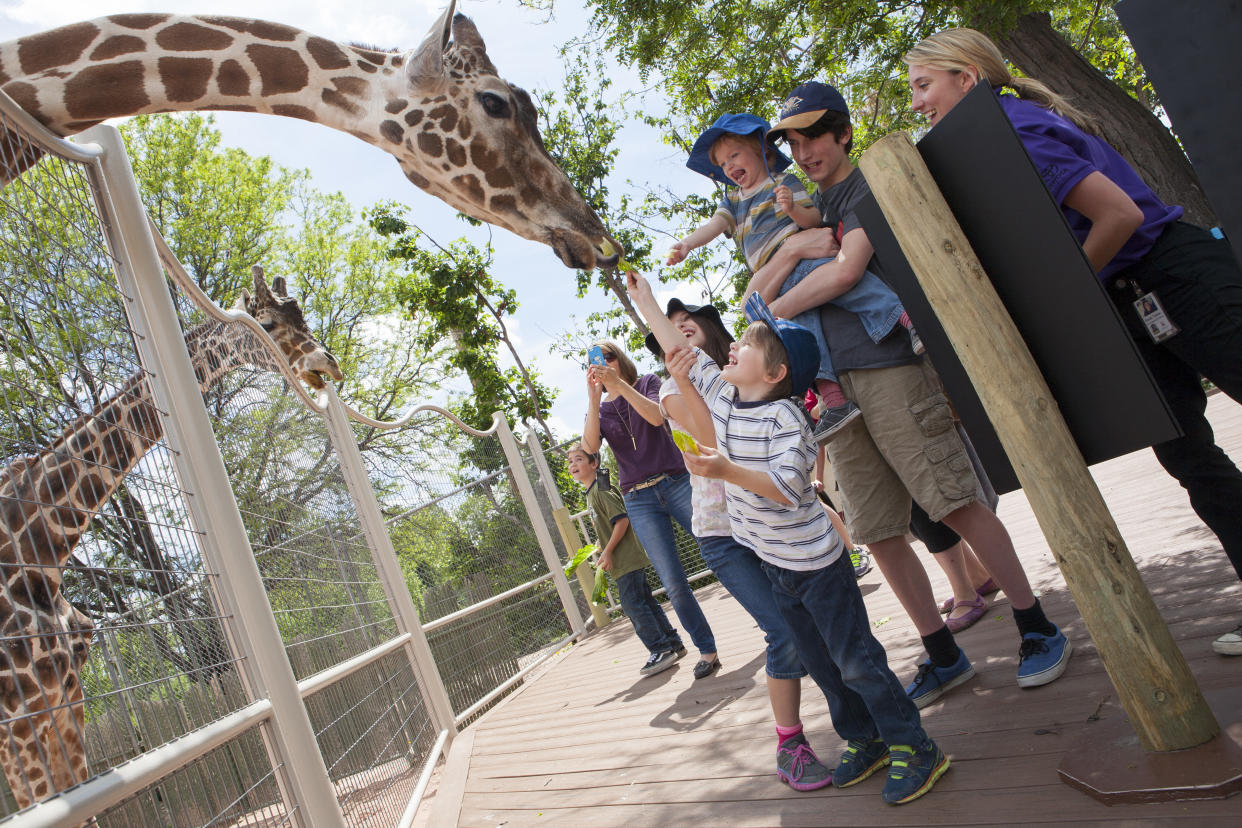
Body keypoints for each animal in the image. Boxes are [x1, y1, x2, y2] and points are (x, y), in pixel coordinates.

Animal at [0, 265, 340, 809]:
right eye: (266, 322)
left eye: (301, 314)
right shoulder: (19, 718)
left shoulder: (66, 698)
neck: (38, 551)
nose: (326, 362)